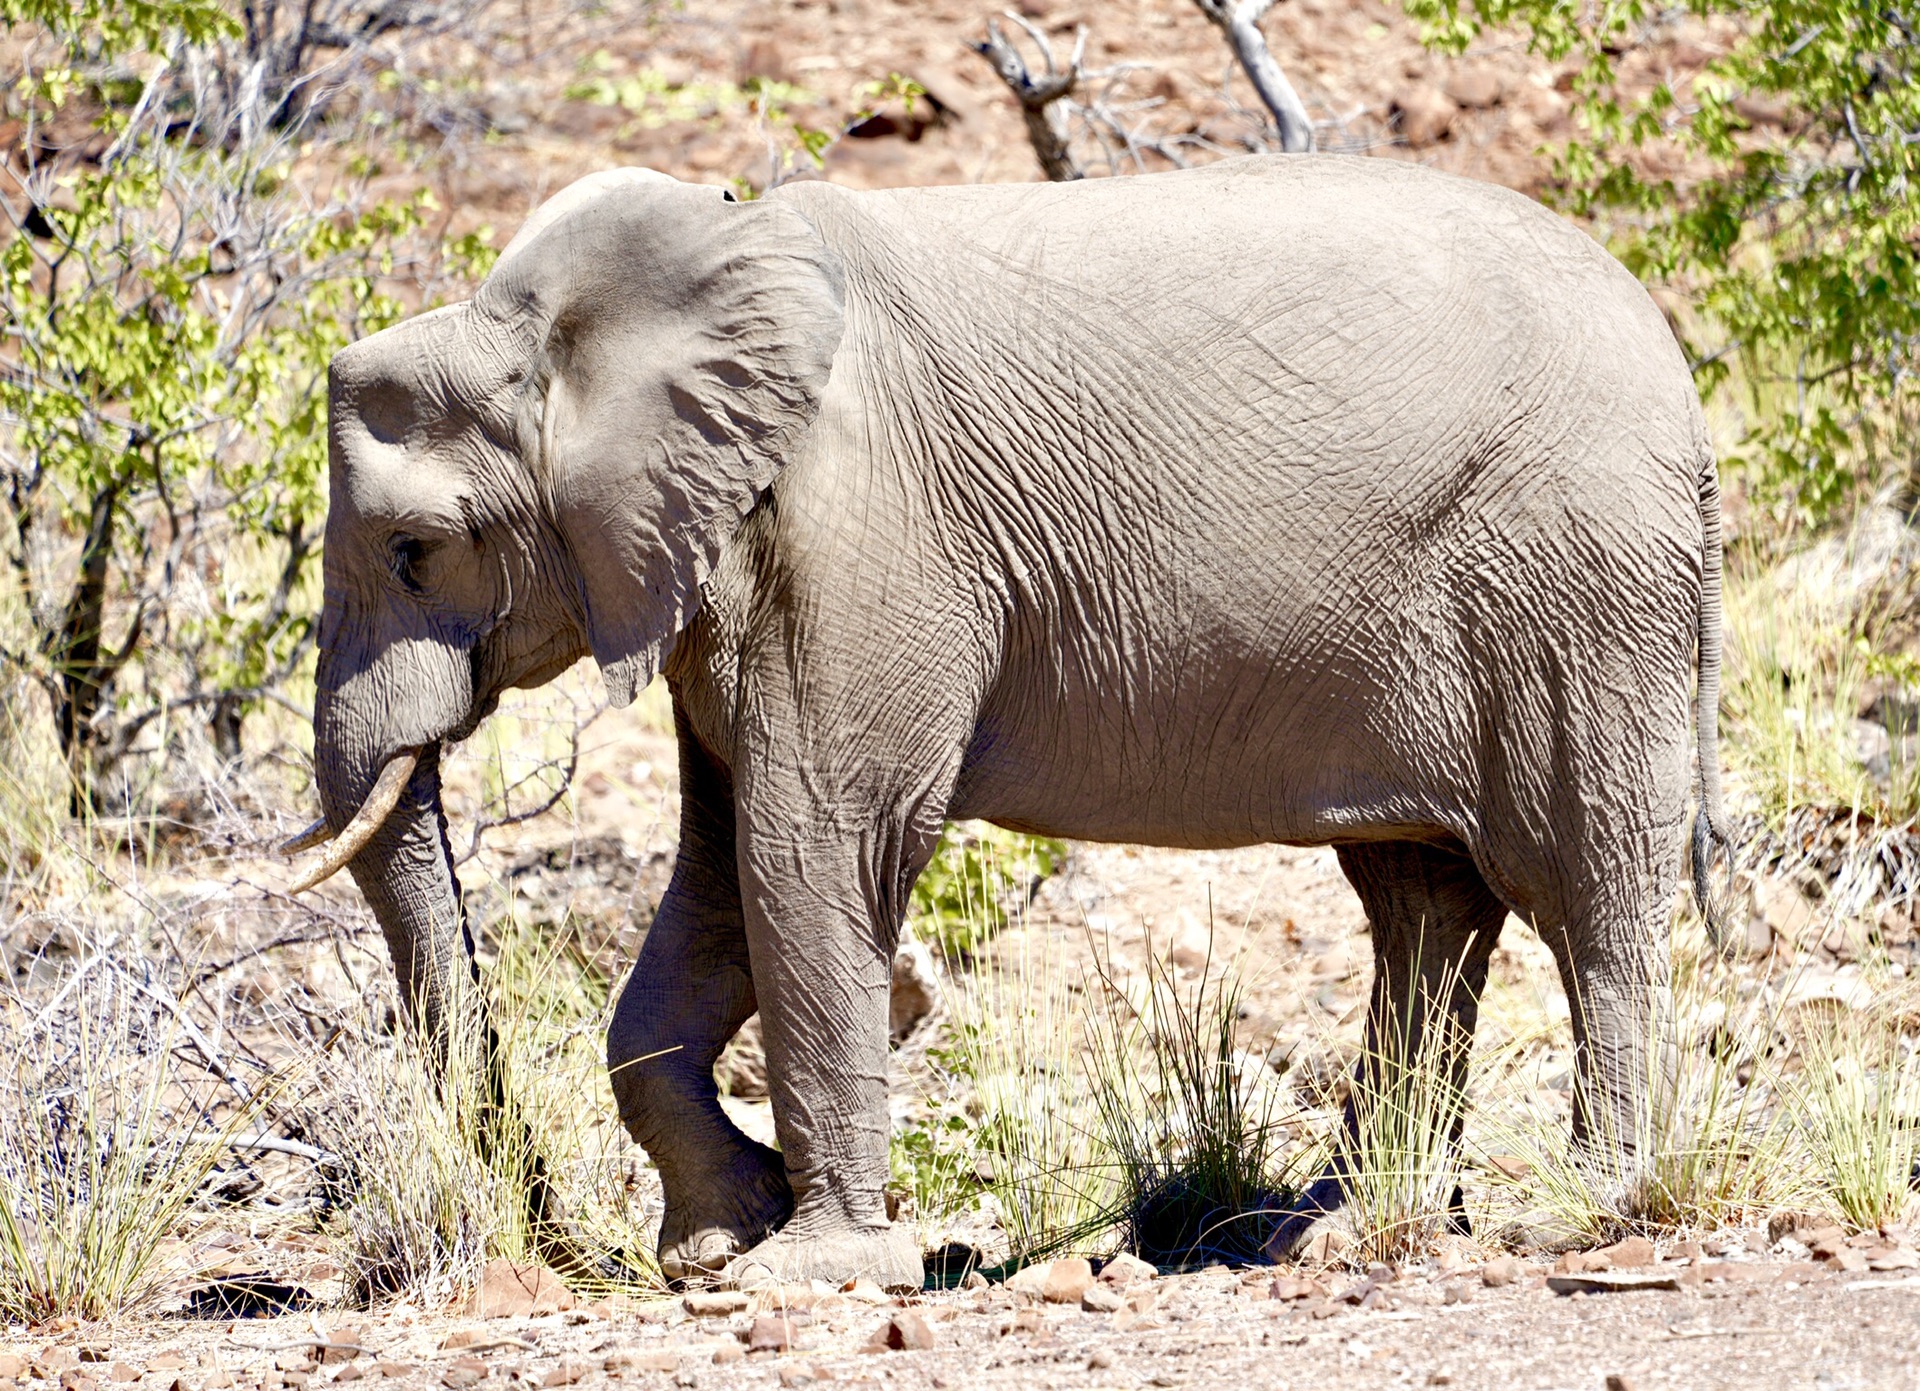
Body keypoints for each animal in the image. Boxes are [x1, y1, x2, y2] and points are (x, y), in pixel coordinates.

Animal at [291, 154, 1735, 1291]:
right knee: (1425, 902)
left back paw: (1587, 1207)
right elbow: (713, 878)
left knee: (1583, 889)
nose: (553, 1245)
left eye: (418, 551)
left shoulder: (860, 537)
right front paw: (719, 1240)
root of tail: (1684, 381)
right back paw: (1336, 1233)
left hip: (1578, 582)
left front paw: (803, 1270)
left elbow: (811, 844)